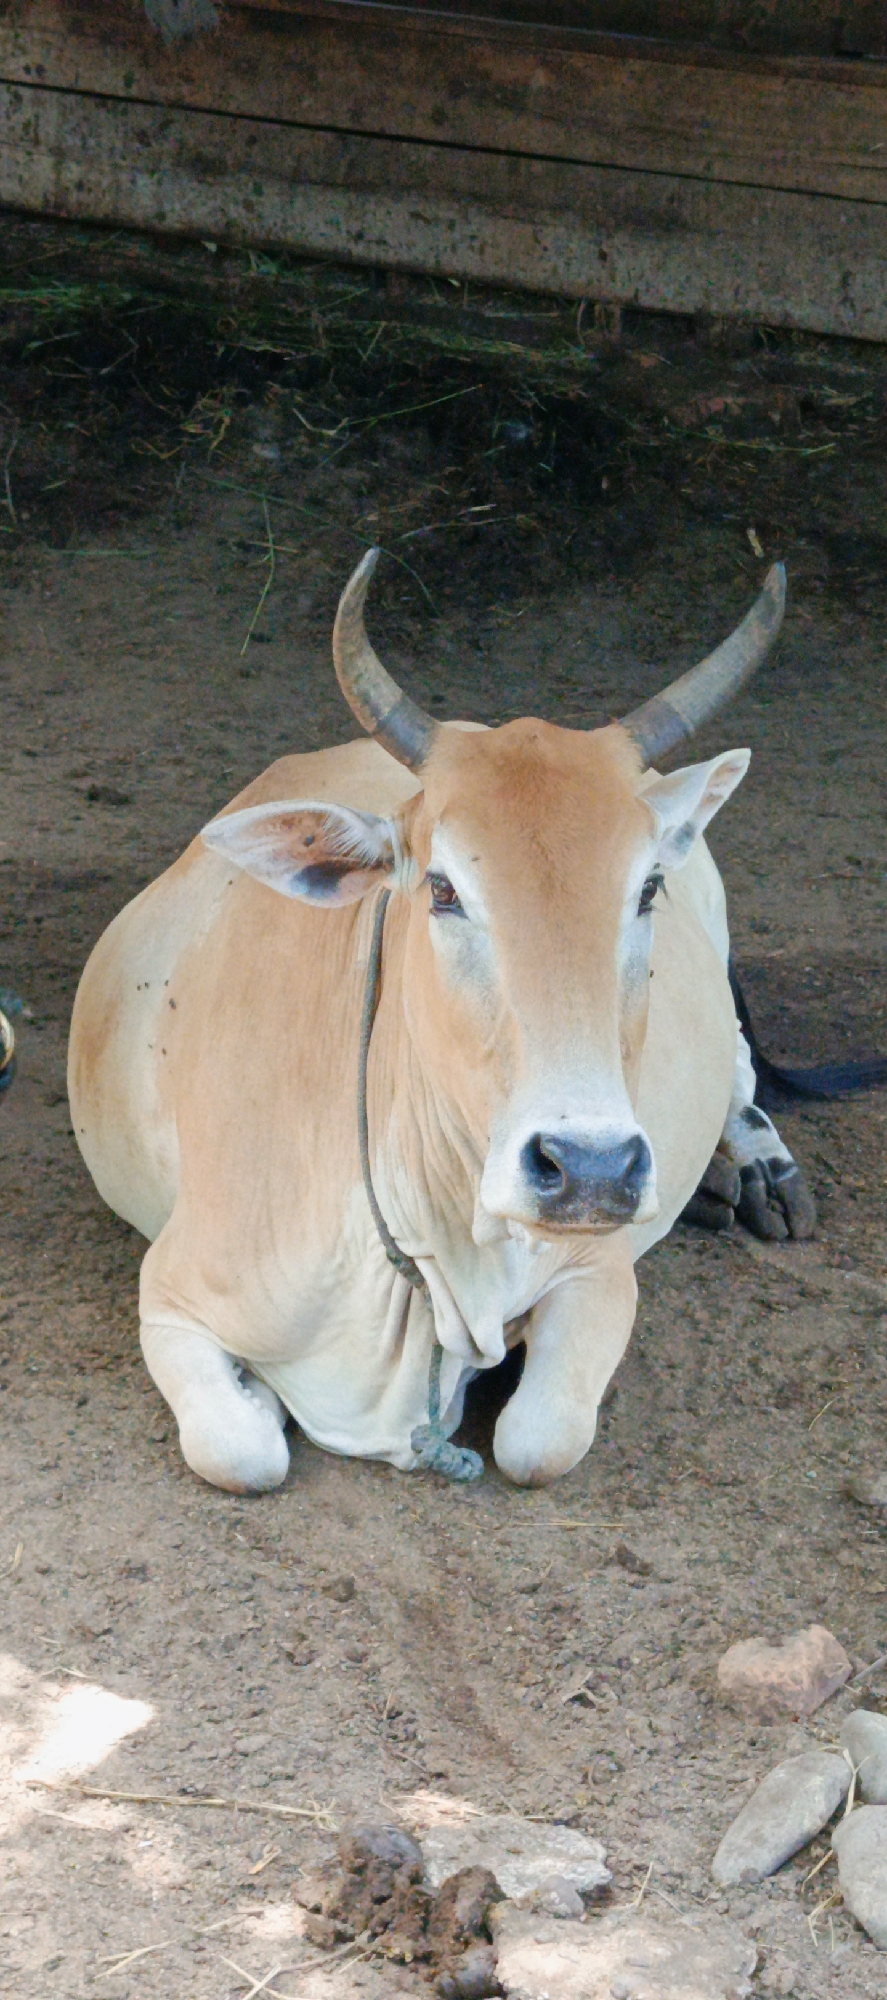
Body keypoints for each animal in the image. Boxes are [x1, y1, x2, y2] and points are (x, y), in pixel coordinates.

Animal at [68, 553, 812, 1493]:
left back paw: (755, 1166)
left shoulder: (597, 1271)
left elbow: (539, 1440)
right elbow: (240, 1450)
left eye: (645, 888)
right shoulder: (168, 1294)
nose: (590, 1170)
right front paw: (260, 1399)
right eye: (445, 887)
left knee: (745, 1063)